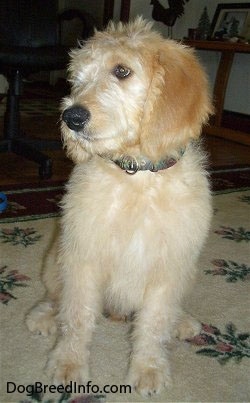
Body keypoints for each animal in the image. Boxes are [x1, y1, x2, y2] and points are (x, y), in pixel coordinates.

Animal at [26, 18, 213, 398]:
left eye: (122, 71)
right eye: (77, 78)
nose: (71, 117)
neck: (136, 177)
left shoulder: (168, 268)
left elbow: (154, 322)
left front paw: (149, 369)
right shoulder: (83, 257)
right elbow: (77, 316)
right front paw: (68, 364)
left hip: (188, 272)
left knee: (169, 311)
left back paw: (183, 321)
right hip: (56, 257)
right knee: (56, 297)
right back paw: (43, 315)